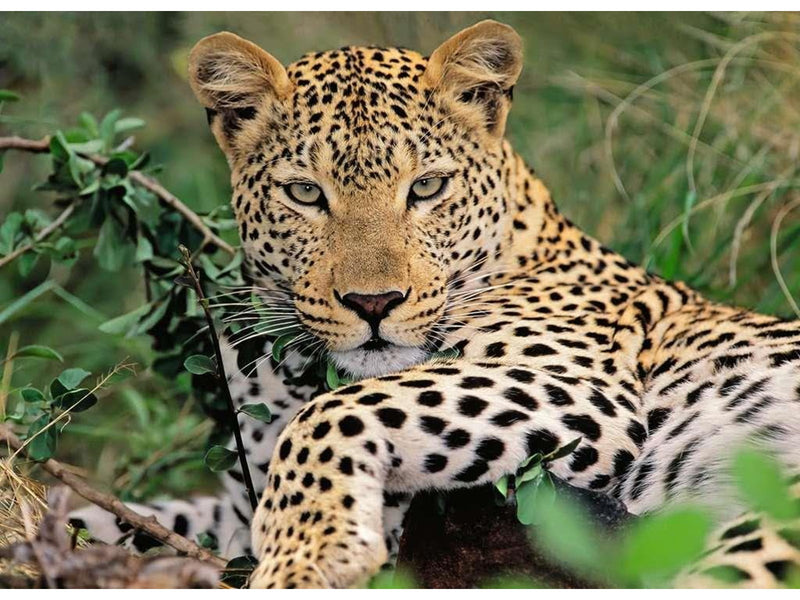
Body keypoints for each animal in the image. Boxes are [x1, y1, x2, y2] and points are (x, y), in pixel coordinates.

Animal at [70, 20, 800, 589]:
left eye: (426, 188)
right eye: (305, 193)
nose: (373, 303)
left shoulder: (583, 390)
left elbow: (333, 412)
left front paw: (307, 557)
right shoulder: (238, 496)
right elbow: (136, 516)